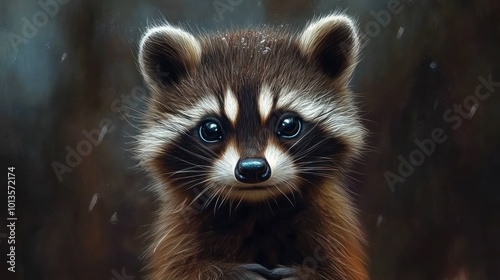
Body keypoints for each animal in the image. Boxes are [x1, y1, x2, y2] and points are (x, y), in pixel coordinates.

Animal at [137, 14, 368, 280]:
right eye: (211, 130)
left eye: (288, 125)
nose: (252, 169)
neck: (256, 208)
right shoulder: (178, 233)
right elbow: (178, 269)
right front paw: (225, 272)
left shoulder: (332, 228)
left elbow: (340, 271)